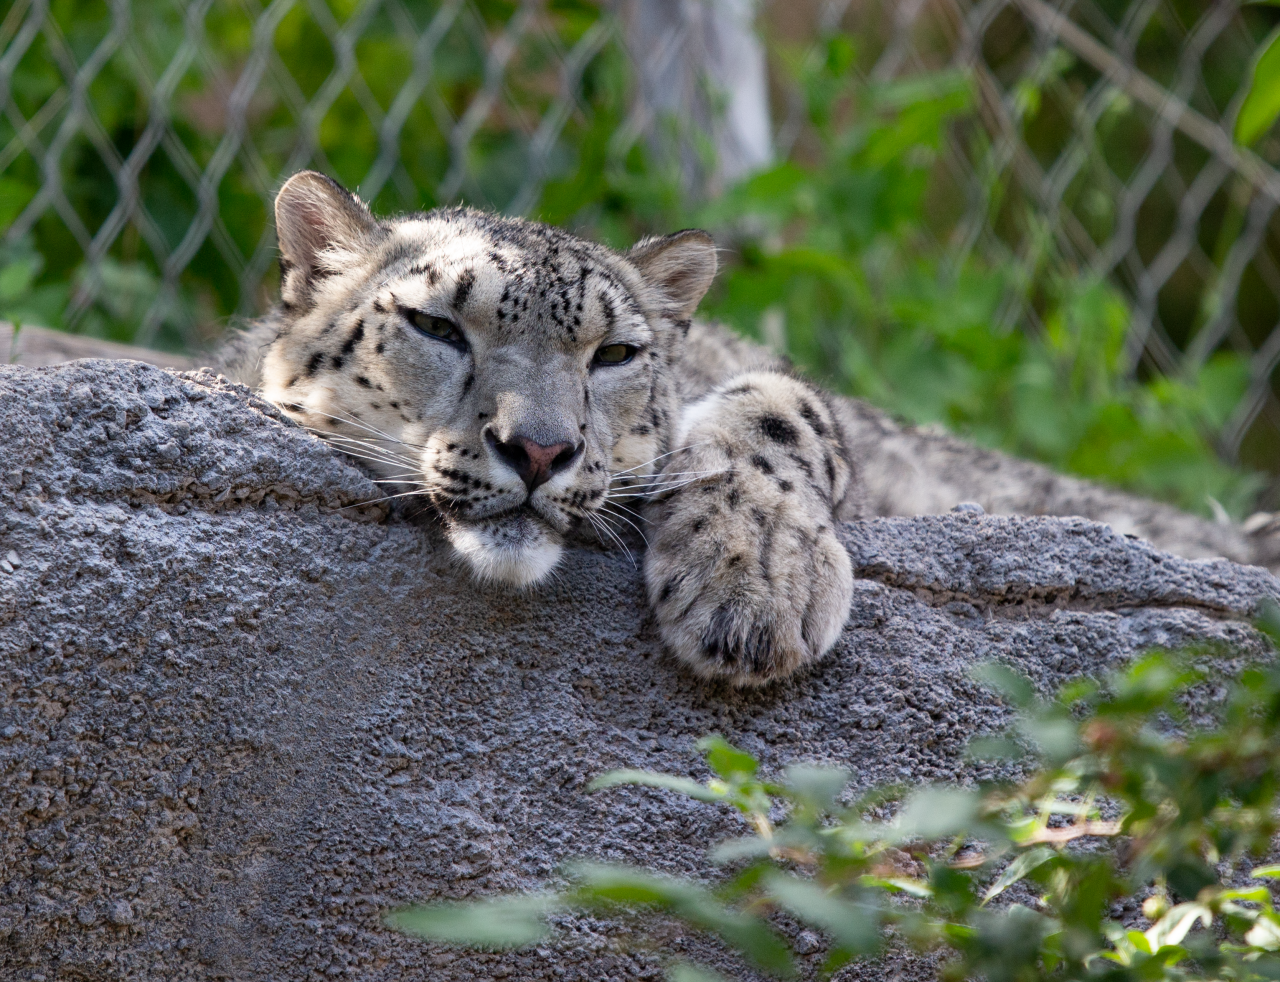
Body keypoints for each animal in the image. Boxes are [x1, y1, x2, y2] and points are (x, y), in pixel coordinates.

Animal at [218, 170, 1280, 687]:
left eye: (615, 353)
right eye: (438, 325)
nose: (541, 449)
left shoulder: (779, 391)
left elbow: (780, 411)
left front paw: (757, 585)